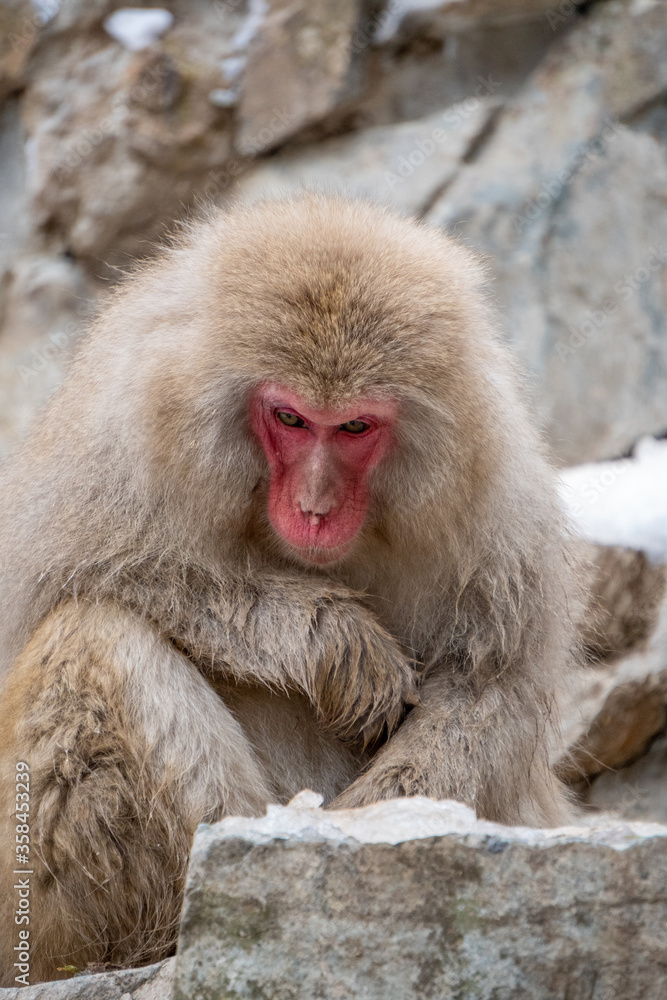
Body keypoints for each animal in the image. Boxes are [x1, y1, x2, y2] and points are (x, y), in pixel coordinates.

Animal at [0, 194, 580, 984]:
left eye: (356, 426)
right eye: (289, 418)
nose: (313, 508)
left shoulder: (497, 496)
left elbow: (491, 687)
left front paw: (370, 833)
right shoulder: (116, 439)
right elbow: (80, 573)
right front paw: (337, 643)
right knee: (93, 633)